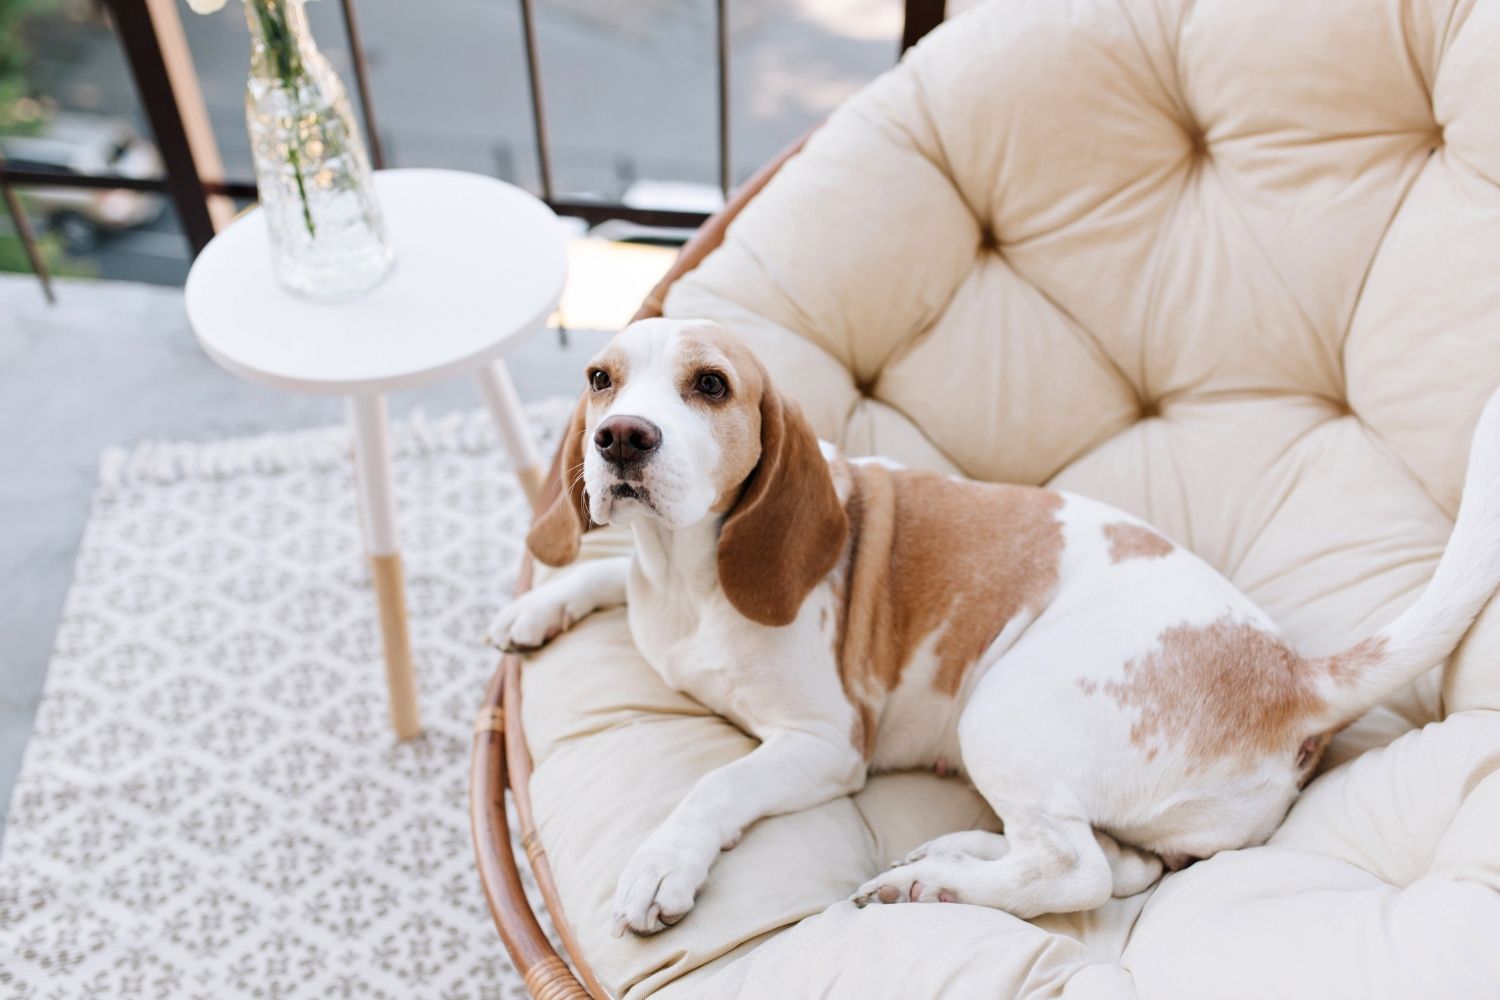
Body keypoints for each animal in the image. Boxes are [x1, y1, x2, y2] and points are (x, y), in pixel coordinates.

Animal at [489, 319, 1500, 941]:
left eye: (710, 386)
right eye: (599, 380)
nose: (621, 437)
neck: (687, 578)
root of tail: (1295, 672)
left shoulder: (823, 745)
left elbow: (713, 786)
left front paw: (663, 864)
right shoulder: (646, 579)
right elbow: (604, 571)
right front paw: (541, 603)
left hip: (1000, 711)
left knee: (1076, 868)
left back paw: (935, 884)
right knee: (1117, 863)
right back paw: (956, 853)